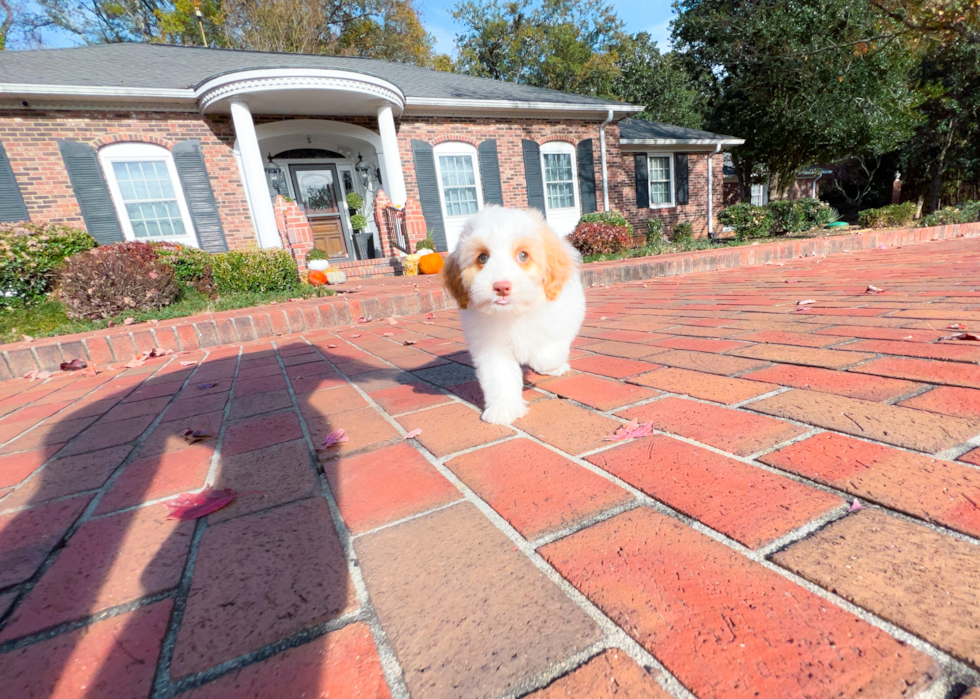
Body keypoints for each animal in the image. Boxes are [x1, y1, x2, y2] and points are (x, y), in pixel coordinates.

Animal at [440, 206, 584, 426]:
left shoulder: (566, 315)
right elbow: (499, 375)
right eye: (482, 258)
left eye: (523, 255)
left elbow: (548, 353)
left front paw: (544, 362)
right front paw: (504, 408)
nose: (501, 287)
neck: (515, 312)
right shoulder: (490, 344)